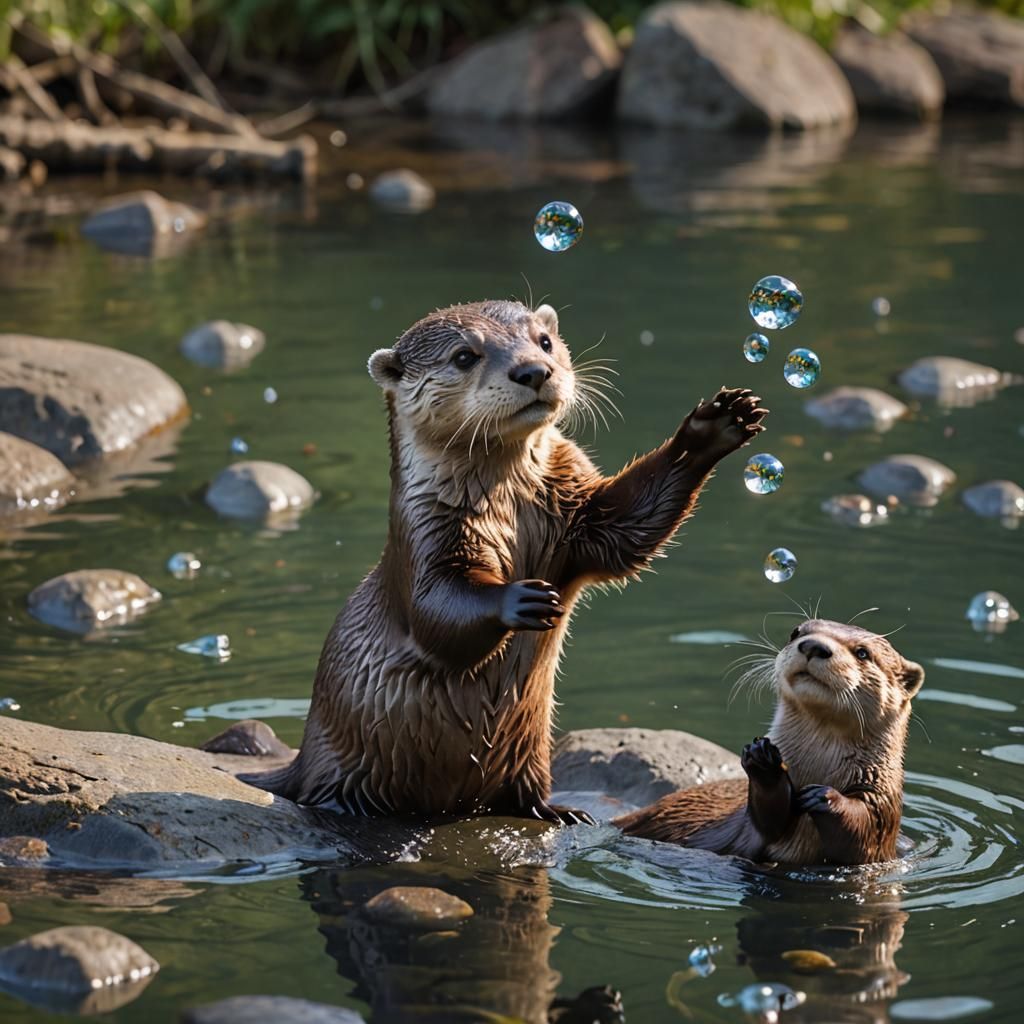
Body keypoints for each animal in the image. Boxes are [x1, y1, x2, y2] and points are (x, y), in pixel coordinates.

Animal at [243, 299, 767, 822]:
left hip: (530, 748)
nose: (533, 370)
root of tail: (304, 756)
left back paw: (556, 811)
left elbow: (628, 531)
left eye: (545, 341)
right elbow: (434, 610)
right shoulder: (425, 533)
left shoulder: (580, 511)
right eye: (463, 356)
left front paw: (713, 427)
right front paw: (520, 600)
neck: (512, 507)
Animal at [615, 620, 924, 864]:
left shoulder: (882, 804)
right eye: (796, 632)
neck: (820, 766)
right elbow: (765, 817)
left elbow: (862, 829)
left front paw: (823, 796)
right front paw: (763, 760)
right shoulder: (749, 828)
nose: (813, 646)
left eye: (863, 652)